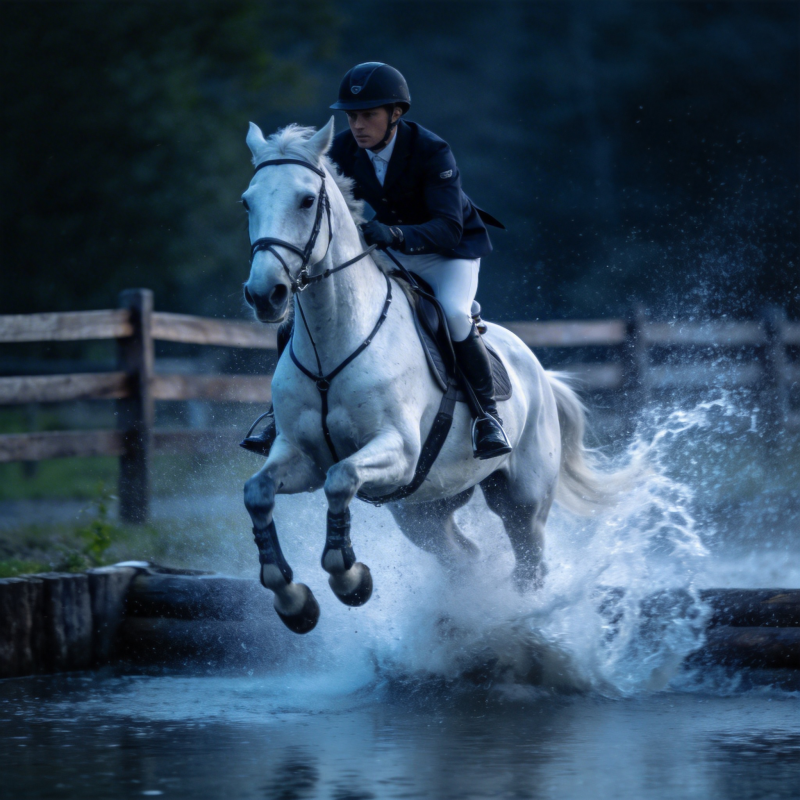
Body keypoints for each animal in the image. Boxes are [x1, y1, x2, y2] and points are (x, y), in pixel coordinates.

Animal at [241, 118, 610, 634]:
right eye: (247, 201)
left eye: (306, 200)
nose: (265, 295)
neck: (334, 341)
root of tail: (537, 369)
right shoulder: (300, 455)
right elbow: (259, 492)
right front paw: (294, 601)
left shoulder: (396, 449)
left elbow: (340, 479)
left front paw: (351, 580)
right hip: (424, 510)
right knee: (464, 557)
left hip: (523, 501)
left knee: (530, 562)